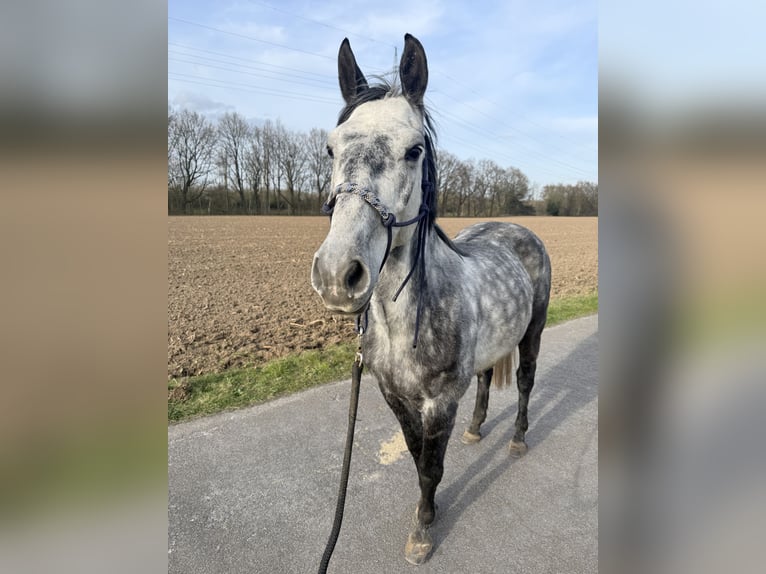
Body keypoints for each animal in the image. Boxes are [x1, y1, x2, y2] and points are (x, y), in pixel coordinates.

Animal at [311, 33, 552, 565]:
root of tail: (517, 228)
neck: (404, 325)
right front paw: (428, 514)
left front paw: (422, 531)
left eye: (414, 149)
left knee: (525, 383)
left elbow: (430, 467)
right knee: (485, 381)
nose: (338, 275)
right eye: (331, 147)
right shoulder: (396, 398)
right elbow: (415, 455)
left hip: (534, 330)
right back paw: (477, 429)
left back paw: (517, 440)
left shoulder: (439, 403)